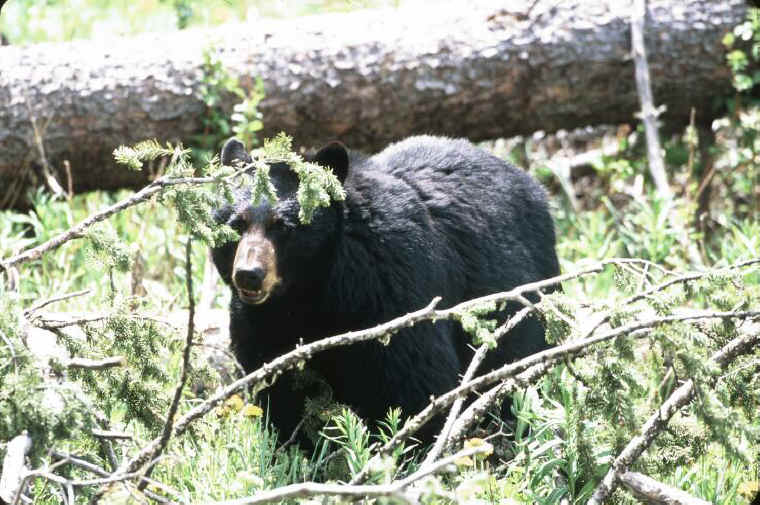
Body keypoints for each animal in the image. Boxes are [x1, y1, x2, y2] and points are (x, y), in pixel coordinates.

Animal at [211, 135, 560, 444]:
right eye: (236, 224)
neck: (313, 291)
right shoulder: (261, 325)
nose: (249, 275)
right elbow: (279, 392)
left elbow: (416, 382)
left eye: (283, 226)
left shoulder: (392, 288)